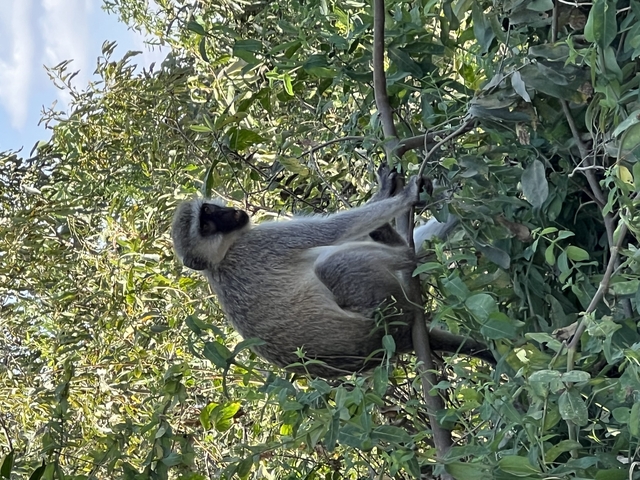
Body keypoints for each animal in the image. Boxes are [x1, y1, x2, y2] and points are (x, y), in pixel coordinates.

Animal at [172, 169, 493, 377]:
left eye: (209, 211)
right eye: (207, 225)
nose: (230, 214)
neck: (218, 261)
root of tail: (399, 339)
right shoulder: (262, 242)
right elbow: (333, 229)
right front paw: (404, 197)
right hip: (384, 311)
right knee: (338, 262)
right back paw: (402, 247)